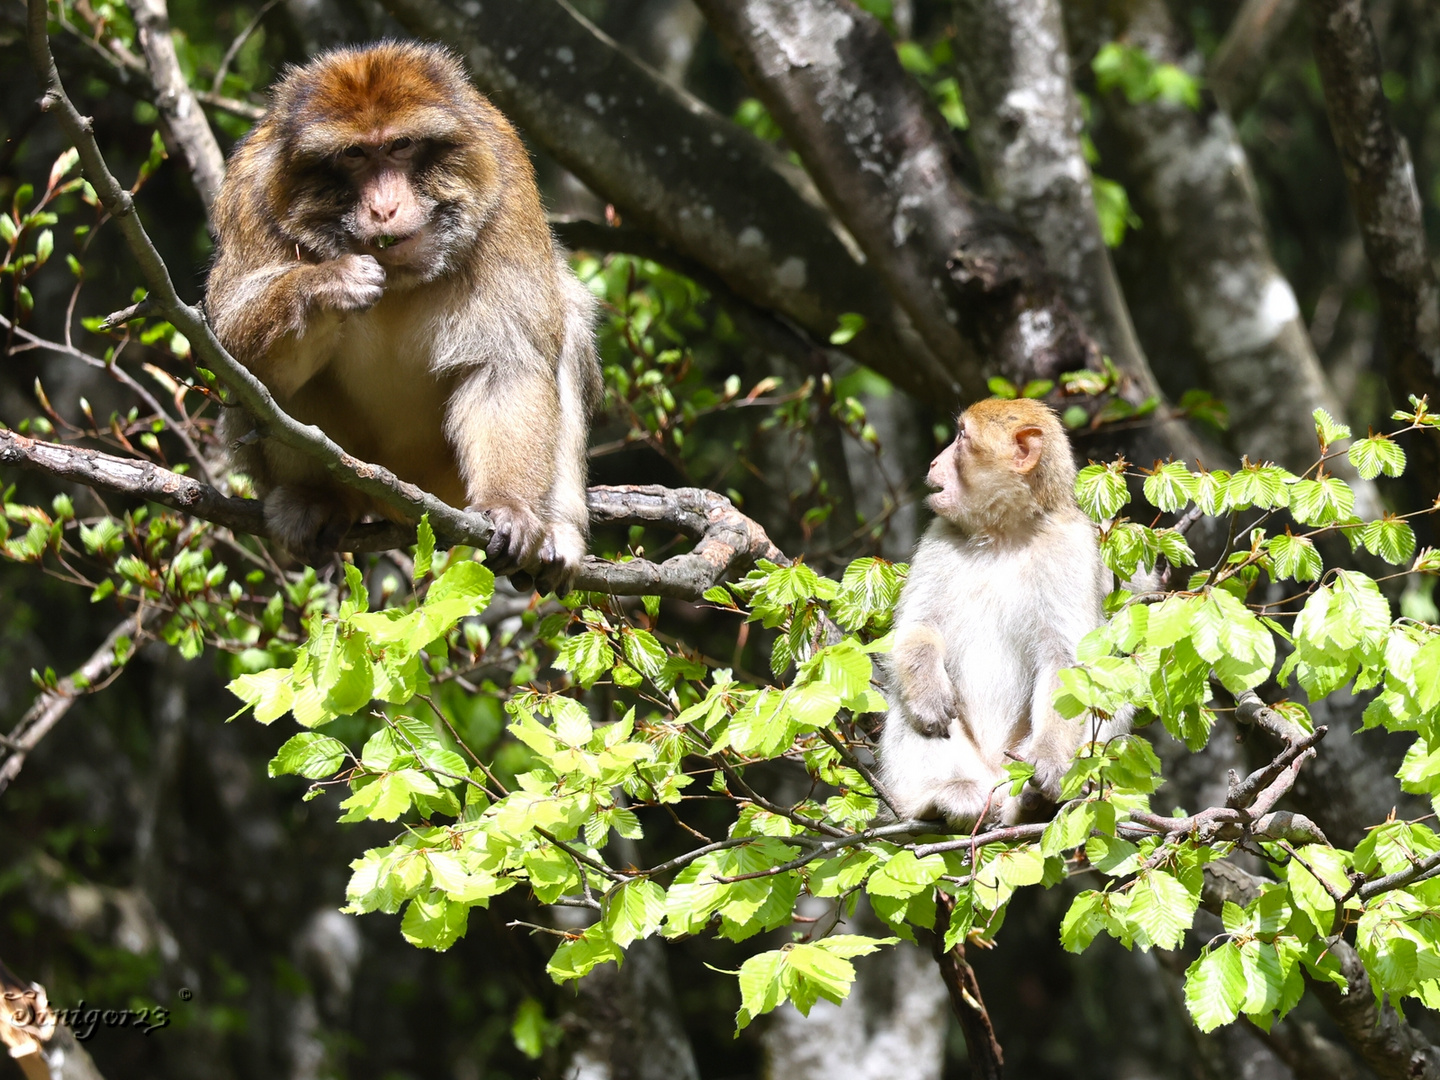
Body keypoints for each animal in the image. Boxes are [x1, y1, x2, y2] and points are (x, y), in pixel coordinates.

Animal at [208, 40, 601, 593]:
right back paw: (316, 498)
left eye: (400, 146)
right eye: (353, 155)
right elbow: (231, 352)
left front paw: (510, 506)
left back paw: (558, 531)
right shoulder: (252, 196)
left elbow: (508, 361)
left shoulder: (503, 191)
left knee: (563, 314)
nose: (384, 209)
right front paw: (329, 284)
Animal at [875, 400, 1123, 829]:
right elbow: (916, 630)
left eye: (961, 438)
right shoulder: (939, 536)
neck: (1001, 535)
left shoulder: (1072, 546)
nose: (934, 462)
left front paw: (1050, 761)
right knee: (907, 704)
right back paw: (935, 801)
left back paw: (1032, 805)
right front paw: (928, 694)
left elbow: (1067, 663)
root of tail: (993, 775)